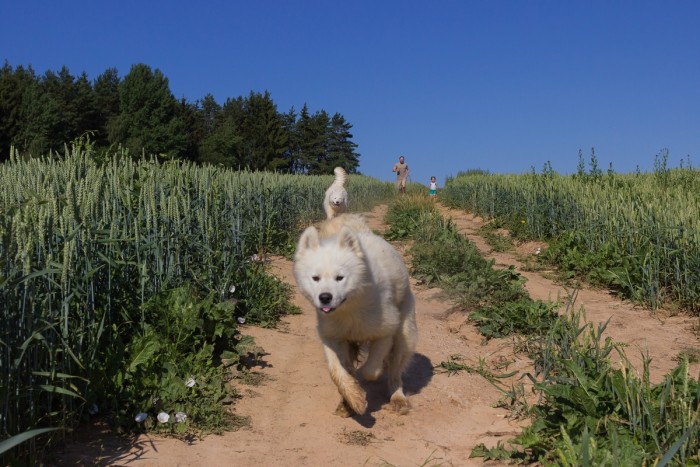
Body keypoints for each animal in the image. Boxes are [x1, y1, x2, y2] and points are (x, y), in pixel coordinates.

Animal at [292, 216, 416, 416]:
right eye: (315, 278)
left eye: (340, 278)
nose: (325, 297)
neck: (349, 309)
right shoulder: (331, 336)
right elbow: (337, 371)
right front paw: (354, 397)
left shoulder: (385, 332)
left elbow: (371, 370)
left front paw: (362, 382)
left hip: (405, 335)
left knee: (396, 370)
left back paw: (398, 398)